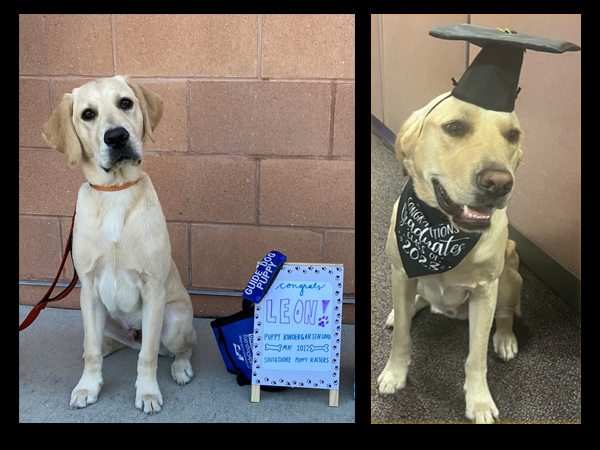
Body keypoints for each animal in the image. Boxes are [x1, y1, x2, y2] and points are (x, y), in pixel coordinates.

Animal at [42, 74, 197, 414]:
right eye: (87, 114)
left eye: (125, 103)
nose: (116, 137)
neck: (115, 190)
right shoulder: (88, 289)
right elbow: (91, 349)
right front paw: (88, 387)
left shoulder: (153, 288)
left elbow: (148, 356)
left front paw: (148, 393)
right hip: (101, 314)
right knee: (104, 342)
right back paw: (109, 345)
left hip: (174, 321)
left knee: (180, 346)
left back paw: (180, 367)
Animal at [378, 93, 524, 424]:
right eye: (455, 127)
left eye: (512, 135)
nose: (500, 182)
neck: (442, 230)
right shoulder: (401, 272)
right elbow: (402, 336)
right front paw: (395, 373)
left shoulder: (485, 291)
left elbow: (476, 356)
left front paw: (479, 401)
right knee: (413, 303)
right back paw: (402, 310)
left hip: (509, 276)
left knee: (506, 314)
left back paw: (505, 338)